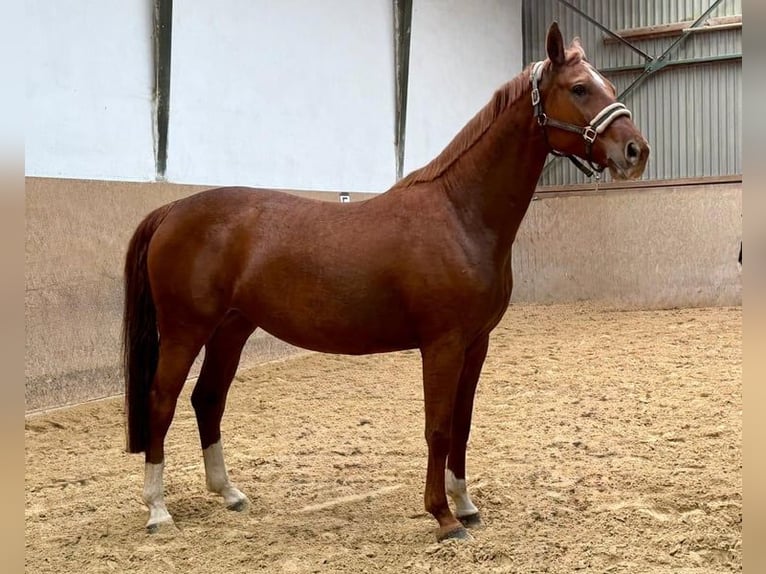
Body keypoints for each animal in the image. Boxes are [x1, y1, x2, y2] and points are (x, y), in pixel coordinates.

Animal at [123, 22, 649, 541]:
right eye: (579, 88)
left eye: (609, 86)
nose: (636, 151)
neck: (458, 214)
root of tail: (173, 209)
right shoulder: (442, 345)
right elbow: (438, 427)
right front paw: (443, 517)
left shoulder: (476, 344)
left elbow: (462, 424)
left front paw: (466, 504)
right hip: (185, 331)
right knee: (162, 401)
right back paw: (158, 512)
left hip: (231, 329)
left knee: (207, 398)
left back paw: (229, 493)